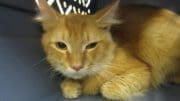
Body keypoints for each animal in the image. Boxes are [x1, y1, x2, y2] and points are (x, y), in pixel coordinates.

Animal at [35, 0, 180, 100]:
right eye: (61, 45)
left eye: (91, 45)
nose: (77, 66)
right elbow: (67, 85)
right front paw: (71, 86)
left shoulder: (143, 70)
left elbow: (107, 88)